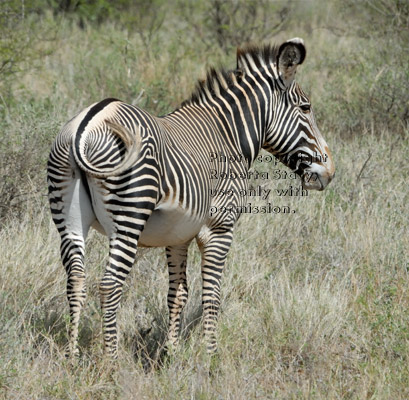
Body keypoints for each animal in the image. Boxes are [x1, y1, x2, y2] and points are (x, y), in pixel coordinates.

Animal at [47, 38, 334, 360]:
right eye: (306, 107)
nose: (329, 172)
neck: (227, 135)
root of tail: (87, 124)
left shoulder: (178, 235)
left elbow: (178, 294)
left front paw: (171, 354)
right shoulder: (219, 228)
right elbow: (211, 294)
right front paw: (212, 356)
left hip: (68, 219)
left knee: (76, 280)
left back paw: (72, 358)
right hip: (129, 217)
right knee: (109, 285)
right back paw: (112, 362)